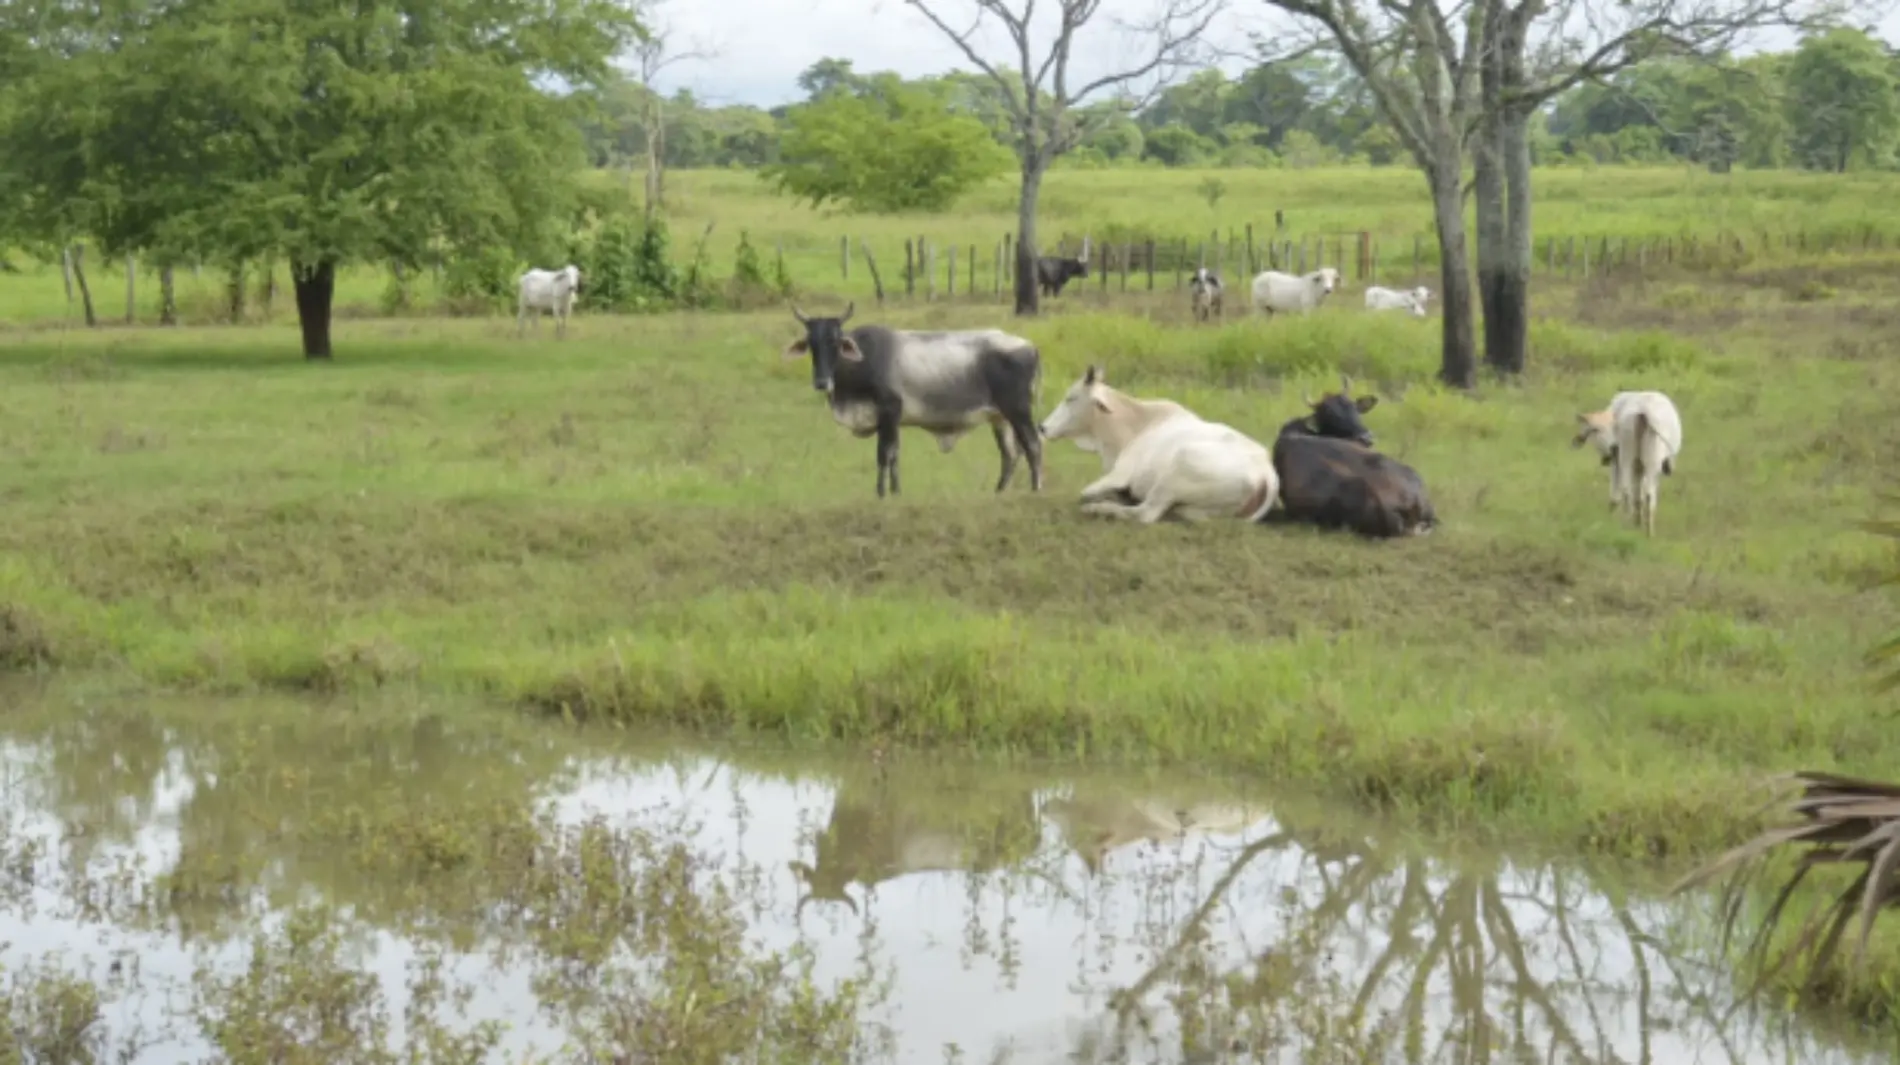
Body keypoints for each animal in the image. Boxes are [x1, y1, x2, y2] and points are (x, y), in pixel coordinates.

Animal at [779, 299, 1048, 497]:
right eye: (811, 344)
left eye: (835, 342)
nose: (822, 382)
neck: (861, 361)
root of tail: (1030, 346)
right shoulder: (891, 421)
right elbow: (895, 454)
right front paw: (895, 491)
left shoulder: (889, 411)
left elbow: (884, 454)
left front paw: (882, 493)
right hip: (1000, 418)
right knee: (1010, 454)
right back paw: (999, 491)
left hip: (1018, 411)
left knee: (1033, 446)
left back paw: (1036, 489)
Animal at [1565, 389, 1687, 535]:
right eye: (1594, 429)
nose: (1613, 447)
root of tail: (1643, 410)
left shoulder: (1620, 462)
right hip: (1647, 459)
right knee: (1645, 493)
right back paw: (1646, 531)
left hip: (1630, 458)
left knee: (1630, 490)